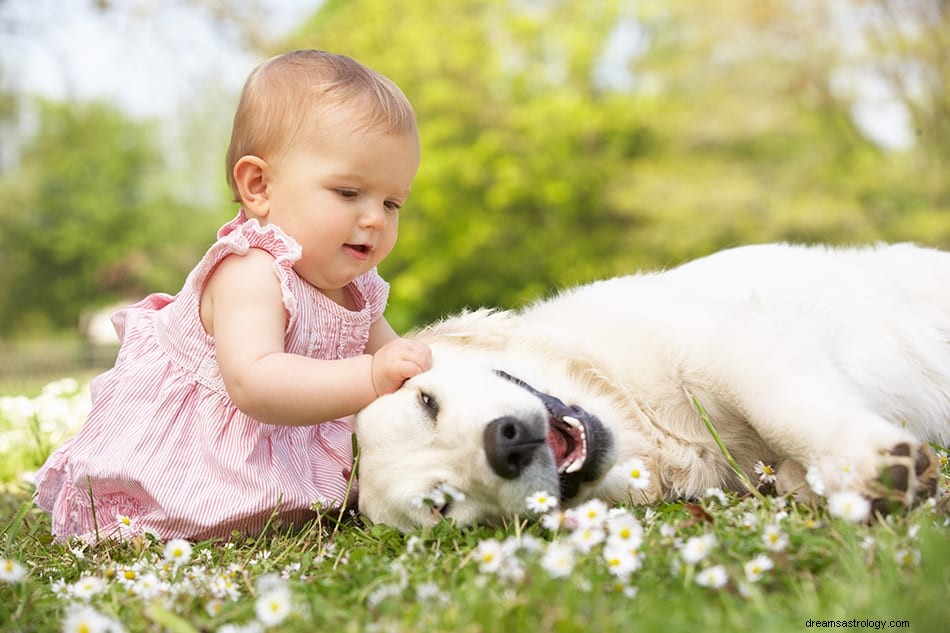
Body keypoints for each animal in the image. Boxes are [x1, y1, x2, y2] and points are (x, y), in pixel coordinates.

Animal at [354, 242, 948, 528]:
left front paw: (867, 464)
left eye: (427, 401)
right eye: (442, 505)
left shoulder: (735, 341)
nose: (506, 444)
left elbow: (782, 410)